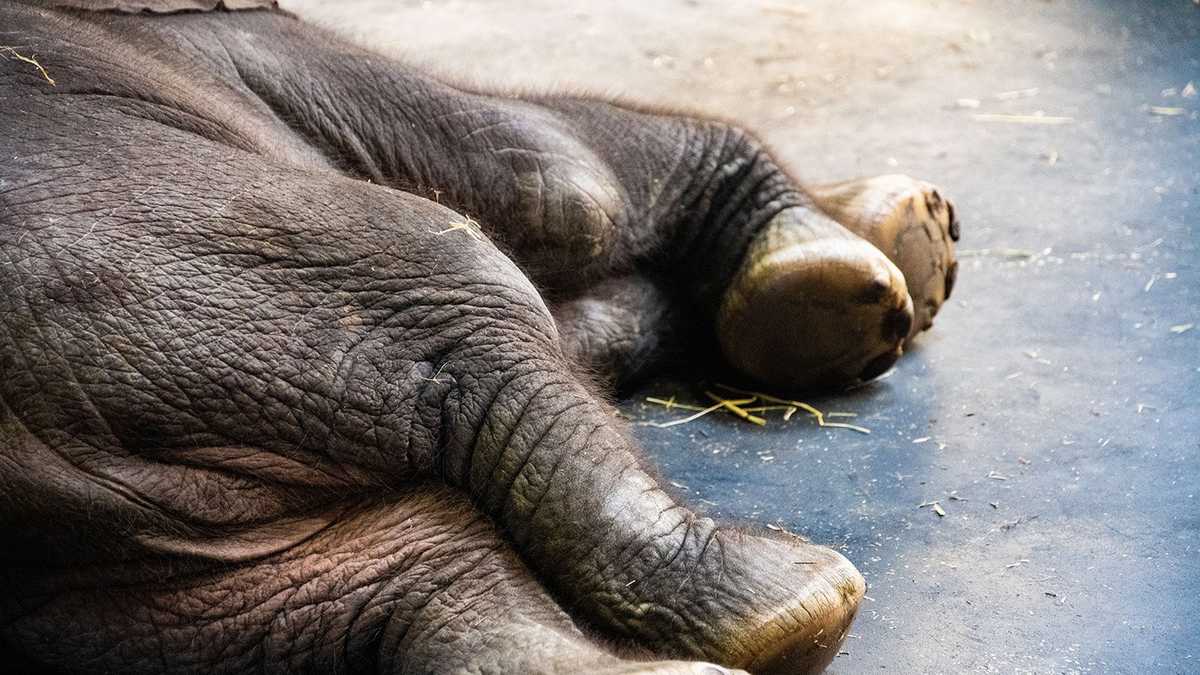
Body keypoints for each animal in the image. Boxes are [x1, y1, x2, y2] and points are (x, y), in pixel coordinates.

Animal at [0, 2, 955, 667]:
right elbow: (567, 183)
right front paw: (899, 245)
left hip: (114, 574)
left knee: (352, 573)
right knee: (508, 257)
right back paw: (803, 601)